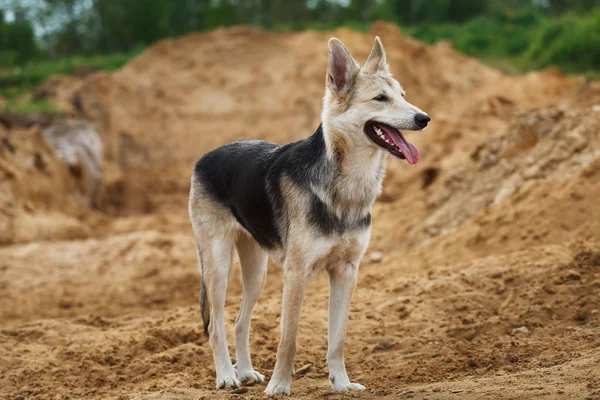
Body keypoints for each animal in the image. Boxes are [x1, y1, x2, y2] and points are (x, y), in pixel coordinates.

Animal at [190, 35, 428, 394]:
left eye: (403, 96)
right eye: (380, 99)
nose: (425, 118)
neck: (344, 186)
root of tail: (204, 157)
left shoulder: (346, 271)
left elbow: (337, 339)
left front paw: (341, 384)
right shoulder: (296, 274)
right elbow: (288, 340)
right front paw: (279, 387)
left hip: (256, 271)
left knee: (240, 322)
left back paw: (244, 371)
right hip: (218, 266)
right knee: (217, 324)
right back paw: (226, 376)